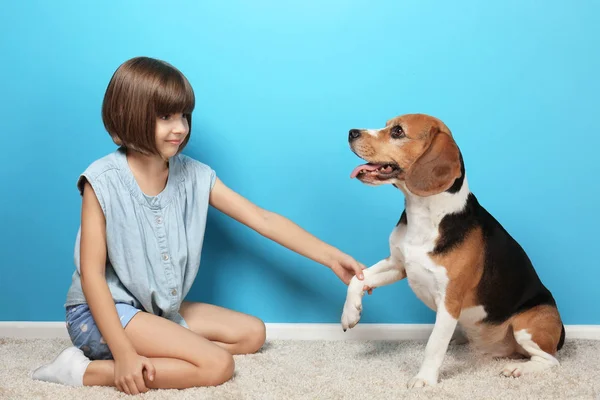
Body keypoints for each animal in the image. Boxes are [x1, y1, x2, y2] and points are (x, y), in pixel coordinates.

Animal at [342, 112, 564, 388]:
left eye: (397, 131)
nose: (351, 132)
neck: (425, 214)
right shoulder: (398, 264)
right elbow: (356, 279)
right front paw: (350, 314)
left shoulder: (449, 300)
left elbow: (434, 345)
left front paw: (424, 380)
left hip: (527, 325)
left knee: (550, 361)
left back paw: (517, 369)